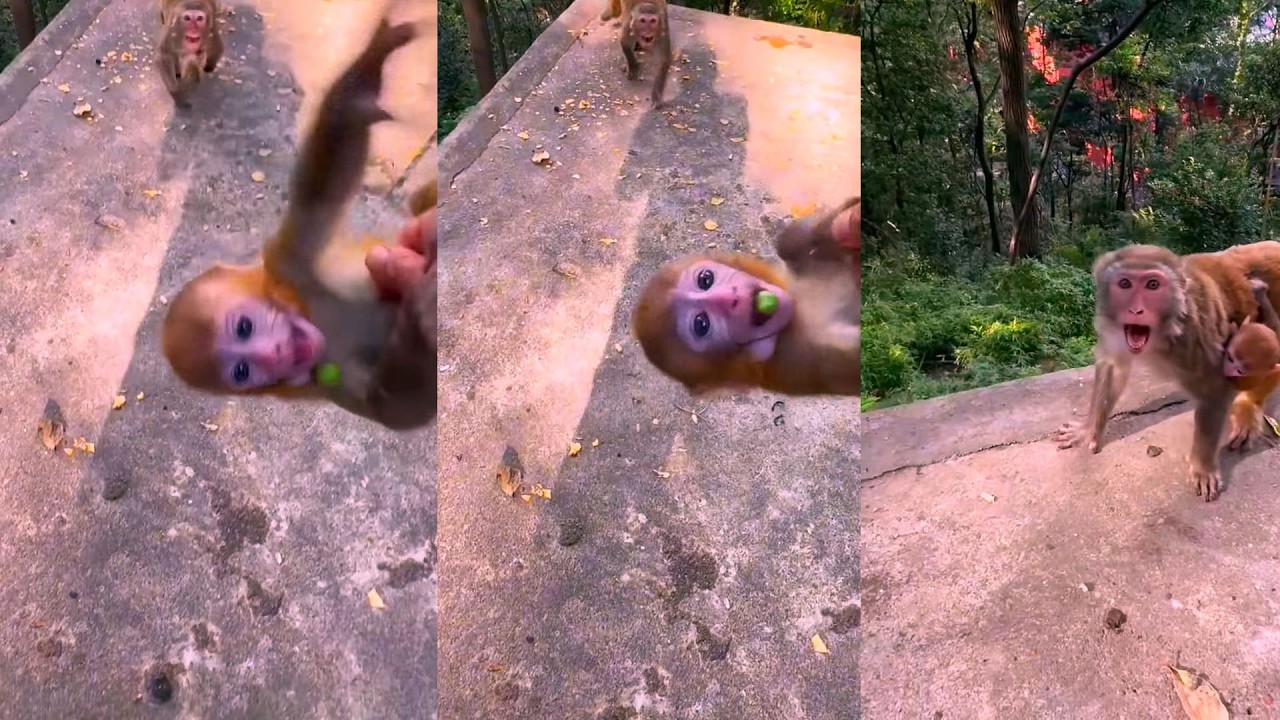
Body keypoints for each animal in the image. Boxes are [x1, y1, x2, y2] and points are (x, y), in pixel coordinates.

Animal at [160, 18, 435, 431]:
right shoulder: (327, 380)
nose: (275, 354)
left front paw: (372, 61)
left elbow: (322, 183)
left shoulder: (289, 263)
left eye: (245, 327)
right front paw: (416, 328)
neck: (309, 314)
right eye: (242, 371)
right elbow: (399, 411)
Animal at [633, 197, 859, 397]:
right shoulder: (805, 358)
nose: (730, 298)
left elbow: (789, 244)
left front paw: (833, 223)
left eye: (705, 279)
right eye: (701, 324)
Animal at [1053, 241, 1280, 501]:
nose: (1136, 310)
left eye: (1153, 285)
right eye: (1124, 283)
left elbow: (1214, 389)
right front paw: (1088, 430)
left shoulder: (1195, 336)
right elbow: (1113, 367)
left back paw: (1248, 406)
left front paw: (1203, 466)